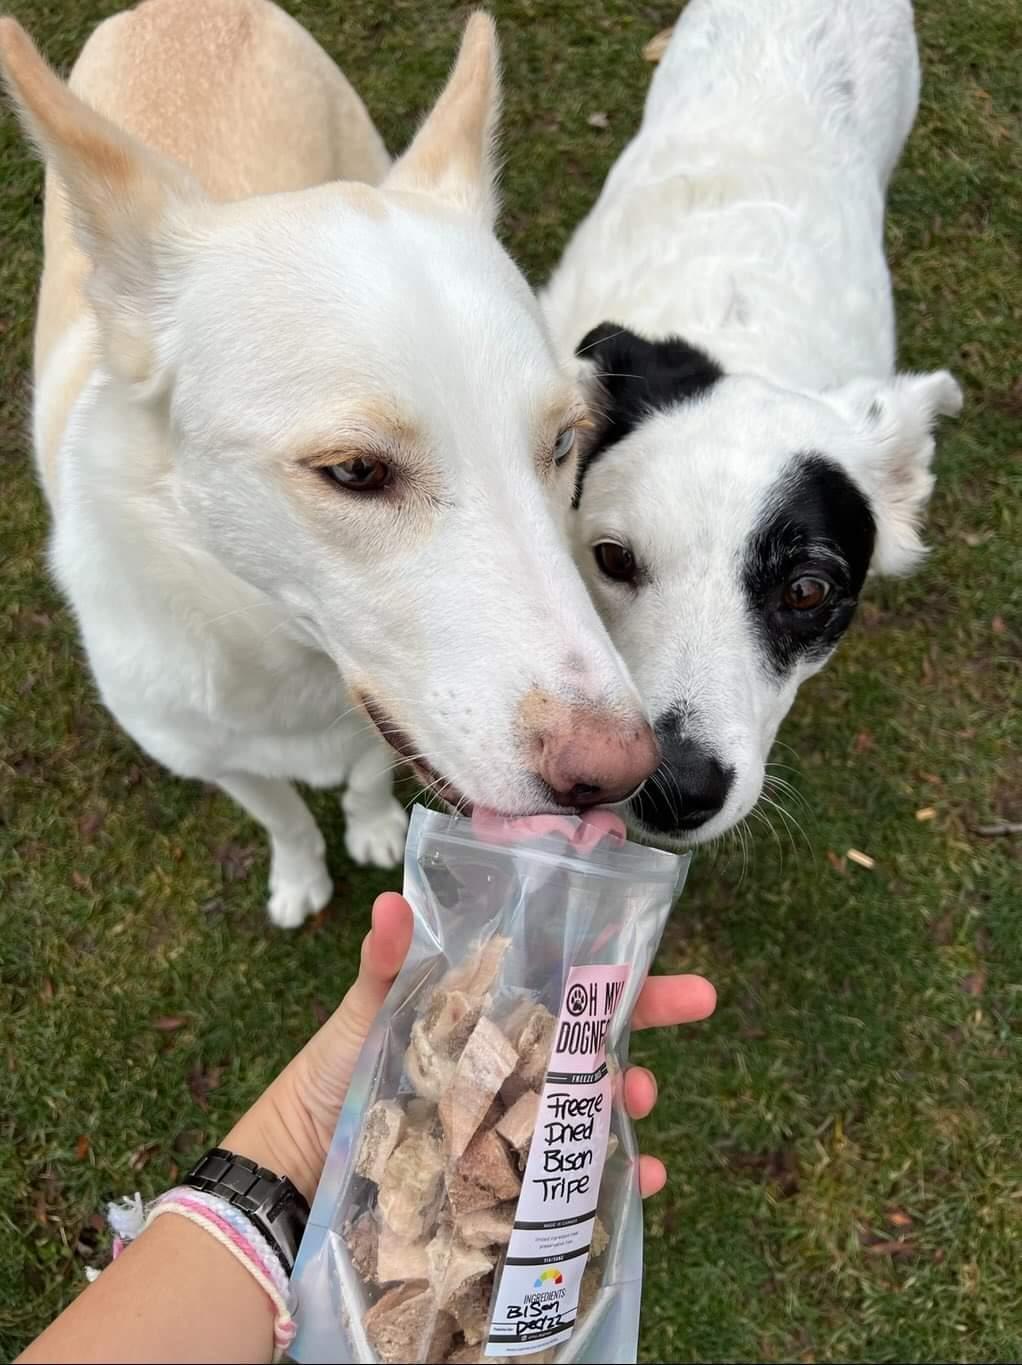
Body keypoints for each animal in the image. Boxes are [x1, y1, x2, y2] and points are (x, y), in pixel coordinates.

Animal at [3, 0, 654, 928]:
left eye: (563, 442)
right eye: (354, 472)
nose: (619, 773)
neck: (290, 660)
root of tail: (186, 10)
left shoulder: (379, 721)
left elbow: (364, 777)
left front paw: (372, 827)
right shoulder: (216, 760)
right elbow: (281, 813)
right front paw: (299, 872)